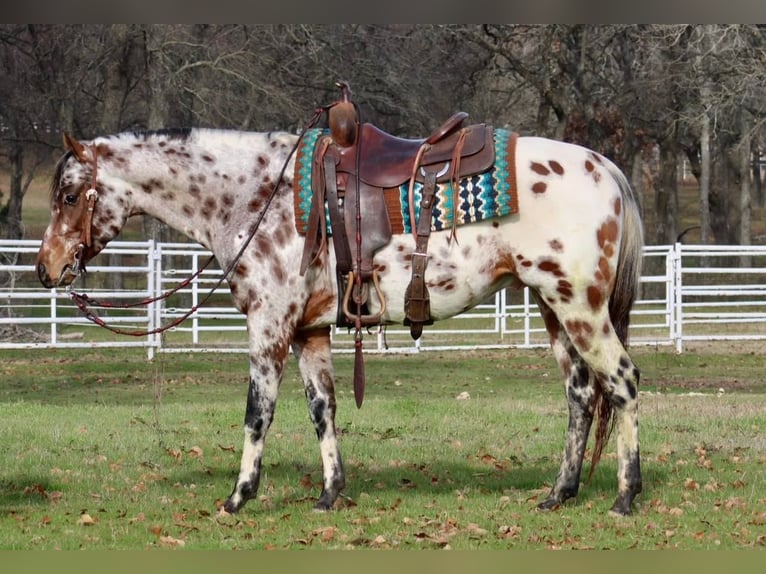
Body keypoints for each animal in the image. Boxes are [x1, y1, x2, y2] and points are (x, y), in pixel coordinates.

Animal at [37, 116, 648, 516]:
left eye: (68, 195)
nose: (46, 269)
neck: (255, 193)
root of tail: (603, 167)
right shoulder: (309, 331)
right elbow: (321, 409)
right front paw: (330, 492)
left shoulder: (269, 325)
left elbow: (258, 412)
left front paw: (239, 496)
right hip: (553, 309)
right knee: (580, 395)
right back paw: (559, 493)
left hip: (579, 307)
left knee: (621, 383)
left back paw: (625, 495)